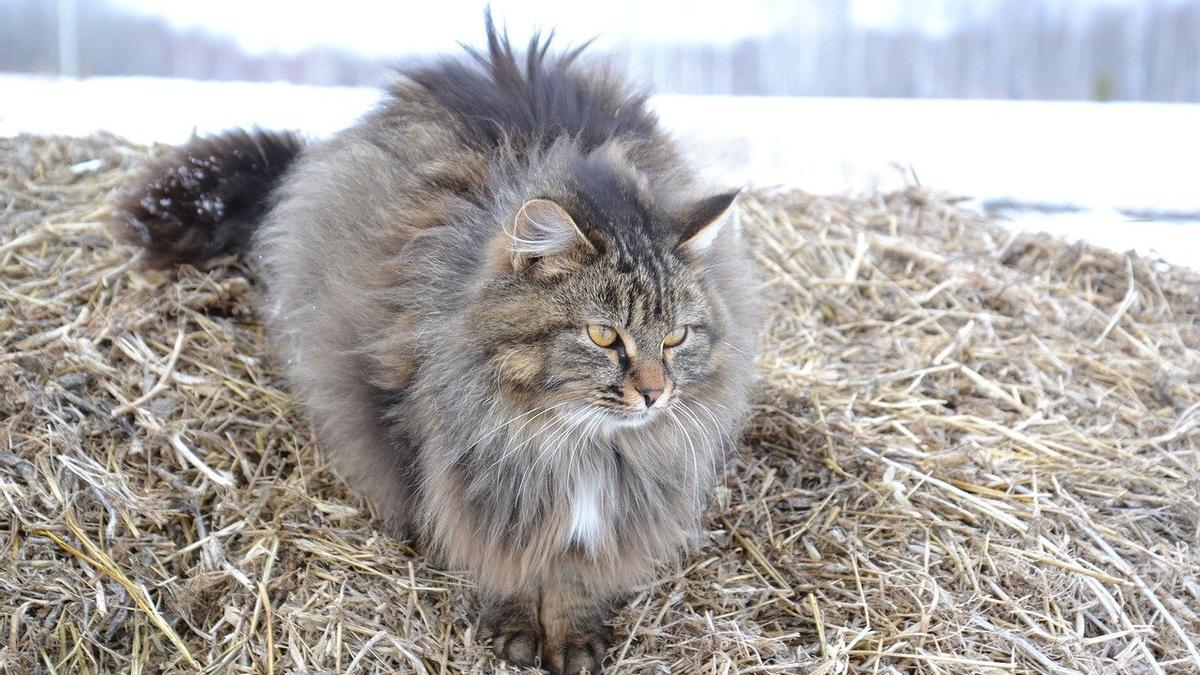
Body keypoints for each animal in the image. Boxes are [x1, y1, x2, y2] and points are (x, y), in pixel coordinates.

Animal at [108, 13, 753, 667]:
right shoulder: (471, 486)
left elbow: (576, 577)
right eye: (603, 335)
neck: (578, 448)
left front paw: (572, 635)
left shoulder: (612, 512)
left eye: (676, 337)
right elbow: (504, 564)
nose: (654, 393)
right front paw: (519, 628)